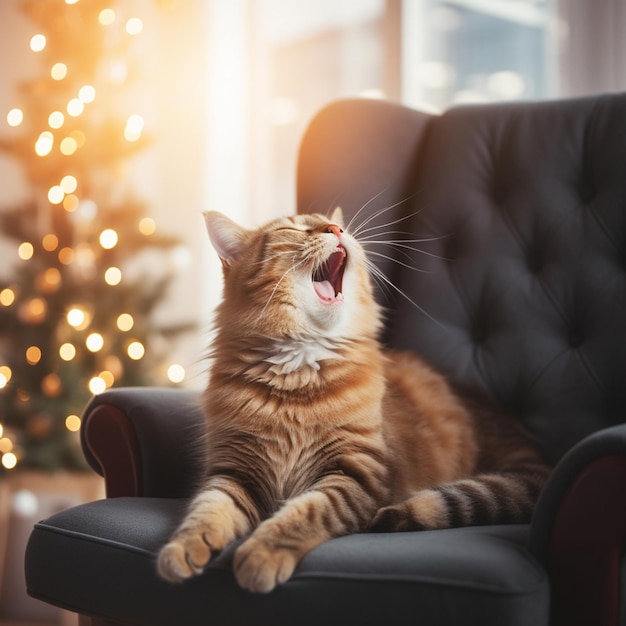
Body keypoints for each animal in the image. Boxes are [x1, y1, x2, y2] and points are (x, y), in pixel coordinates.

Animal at [156, 208, 544, 588]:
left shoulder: (356, 472)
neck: (298, 377)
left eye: (330, 222)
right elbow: (208, 510)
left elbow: (305, 513)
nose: (336, 230)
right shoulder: (235, 470)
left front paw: (263, 553)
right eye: (292, 229)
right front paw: (184, 547)